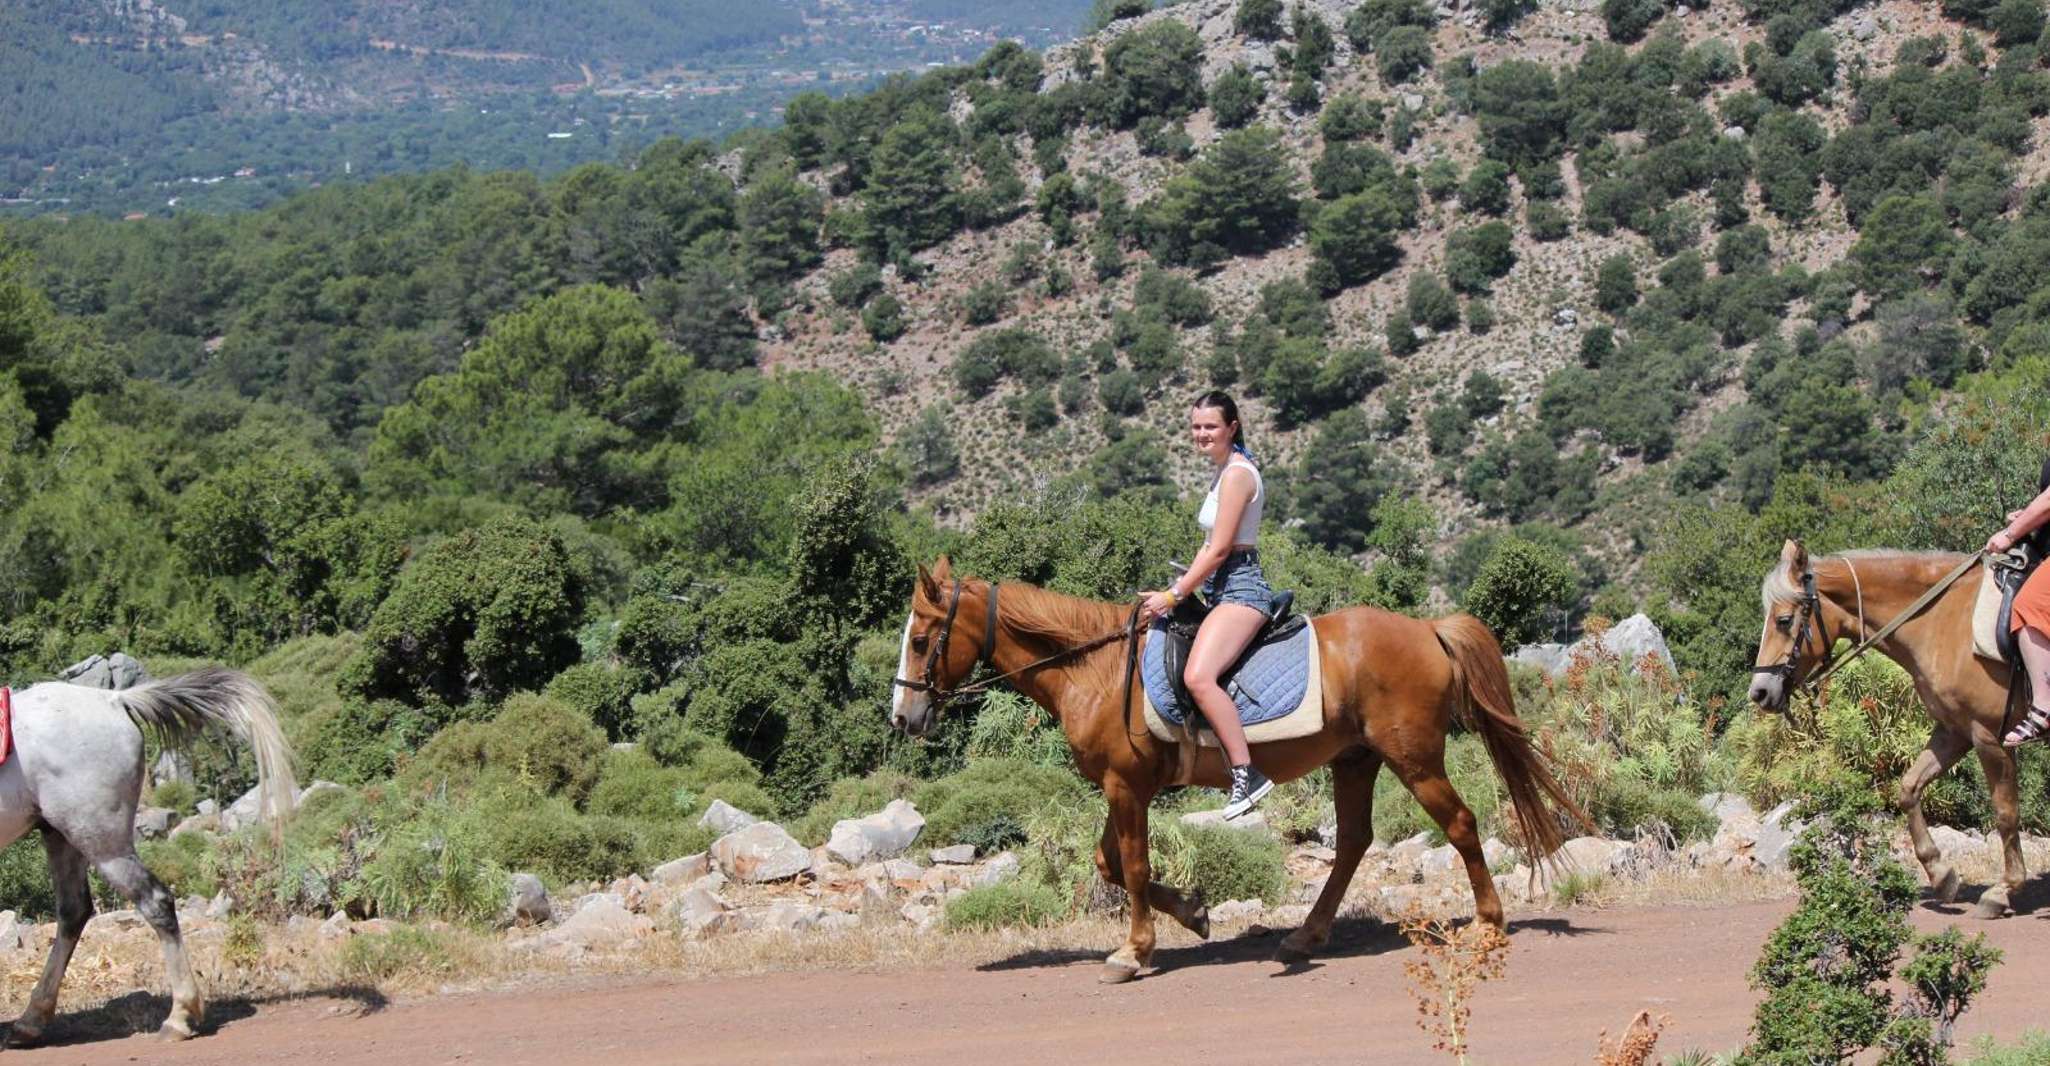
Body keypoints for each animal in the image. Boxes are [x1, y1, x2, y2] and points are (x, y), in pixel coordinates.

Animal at [0, 664, 297, 1041]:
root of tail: (115, 699)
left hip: (102, 842)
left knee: (154, 902)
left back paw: (180, 1016)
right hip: (62, 836)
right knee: (73, 911)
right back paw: (31, 1020)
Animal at [893, 557, 1582, 984]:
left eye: (923, 640)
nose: (904, 717)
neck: (1094, 668)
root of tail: (1428, 630)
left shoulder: (1125, 787)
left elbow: (1131, 867)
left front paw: (1134, 951)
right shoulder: (1127, 787)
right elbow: (1109, 863)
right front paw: (1193, 913)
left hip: (1412, 758)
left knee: (1460, 824)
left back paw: (1488, 925)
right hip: (1355, 761)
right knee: (1353, 843)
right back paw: (1305, 937)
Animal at [1738, 541, 2025, 914]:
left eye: (1784, 620)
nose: (1759, 692)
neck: (1944, 621)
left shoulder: (1990, 737)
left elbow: (2006, 812)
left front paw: (2003, 889)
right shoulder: (1955, 731)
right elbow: (1908, 788)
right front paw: (1940, 873)